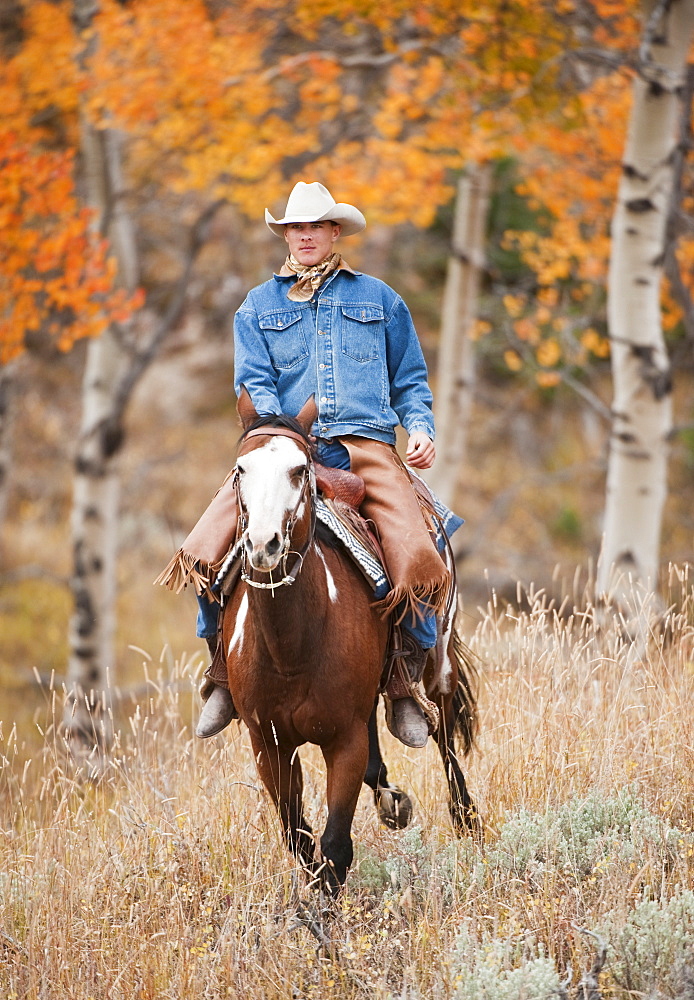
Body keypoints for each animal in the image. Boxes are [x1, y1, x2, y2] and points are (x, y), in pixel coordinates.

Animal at [223, 388, 484, 892]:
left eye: (299, 470)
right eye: (240, 470)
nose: (263, 545)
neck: (290, 650)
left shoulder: (343, 741)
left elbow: (335, 847)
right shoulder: (269, 747)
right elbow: (299, 838)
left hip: (438, 668)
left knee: (444, 737)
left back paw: (468, 821)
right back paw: (392, 800)